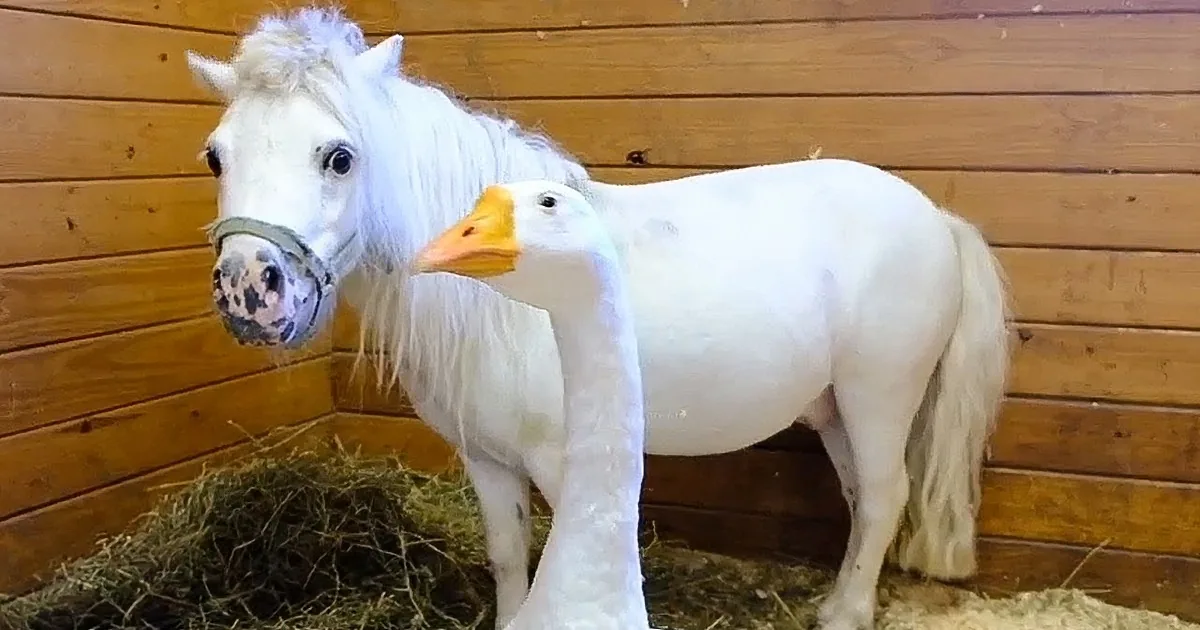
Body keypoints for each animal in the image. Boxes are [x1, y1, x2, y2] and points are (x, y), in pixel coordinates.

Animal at [185, 9, 1010, 630]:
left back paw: (844, 614)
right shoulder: (488, 460)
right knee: (863, 503)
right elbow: (509, 556)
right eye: (216, 157)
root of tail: (937, 219)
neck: (503, 296)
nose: (251, 290)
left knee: (885, 496)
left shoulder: (562, 464)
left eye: (339, 157)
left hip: (879, 399)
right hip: (835, 409)